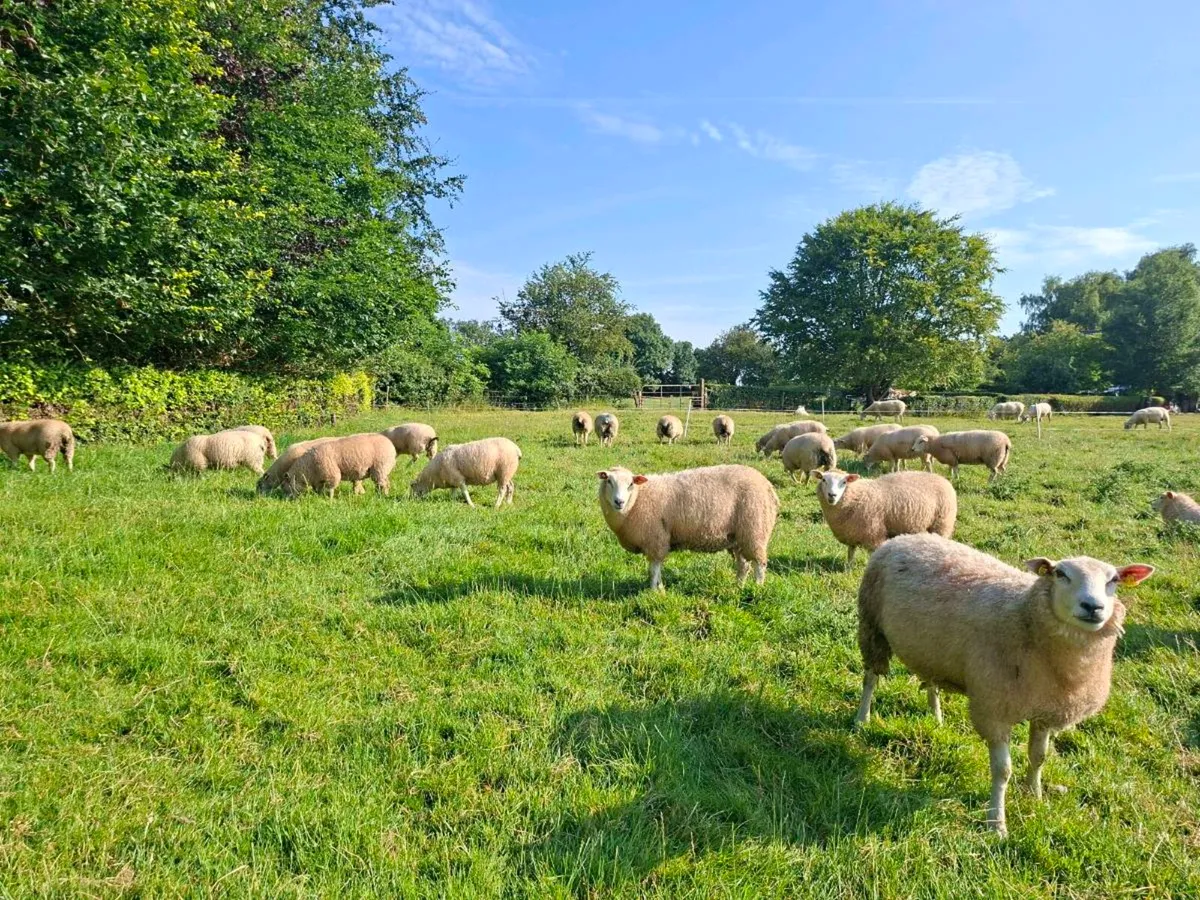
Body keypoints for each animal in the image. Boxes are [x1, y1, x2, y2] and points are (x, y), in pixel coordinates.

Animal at [597, 464, 779, 590]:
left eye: (631, 484)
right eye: (609, 481)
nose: (619, 502)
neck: (637, 500)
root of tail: (768, 485)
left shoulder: (656, 540)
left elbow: (654, 570)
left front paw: (655, 591)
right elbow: (654, 570)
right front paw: (658, 589)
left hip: (755, 531)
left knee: (760, 564)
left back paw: (757, 588)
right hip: (738, 537)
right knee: (743, 566)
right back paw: (738, 587)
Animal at [813, 469, 956, 567]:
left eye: (844, 482)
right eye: (824, 480)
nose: (832, 495)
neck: (856, 495)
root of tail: (942, 478)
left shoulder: (874, 534)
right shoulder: (851, 533)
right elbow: (850, 553)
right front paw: (848, 568)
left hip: (941, 524)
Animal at [854, 532, 1154, 836]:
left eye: (1113, 579)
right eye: (1060, 574)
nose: (1093, 607)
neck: (1025, 619)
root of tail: (908, 537)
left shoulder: (1045, 709)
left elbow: (1039, 757)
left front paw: (1035, 795)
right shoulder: (994, 708)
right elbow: (1003, 771)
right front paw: (996, 823)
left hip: (931, 651)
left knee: (932, 682)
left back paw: (936, 717)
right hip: (872, 626)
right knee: (870, 678)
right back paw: (862, 718)